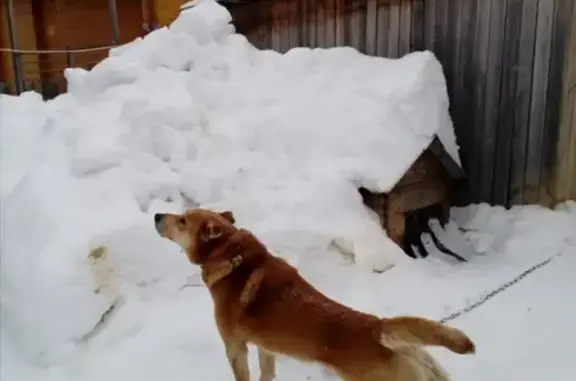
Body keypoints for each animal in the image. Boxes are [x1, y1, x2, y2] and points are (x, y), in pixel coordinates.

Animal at [155, 208, 474, 380]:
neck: (230, 255)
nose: (157, 215)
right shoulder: (265, 348)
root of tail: (378, 328)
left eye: (182, 220)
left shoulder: (235, 347)